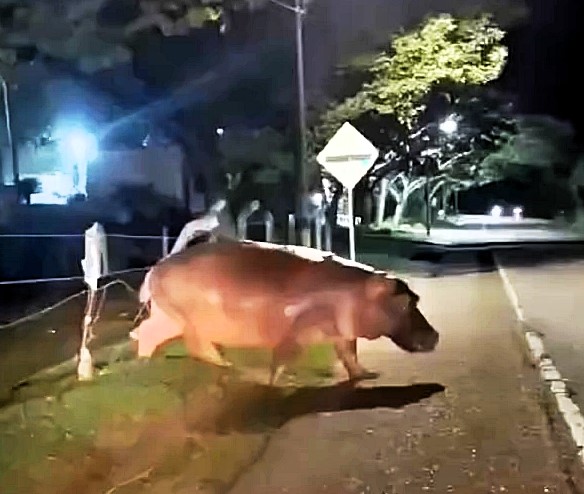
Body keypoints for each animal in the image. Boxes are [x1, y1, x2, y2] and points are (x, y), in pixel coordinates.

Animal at [129, 241, 438, 384]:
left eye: (416, 297)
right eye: (407, 302)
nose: (435, 335)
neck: (361, 291)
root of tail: (156, 268)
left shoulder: (343, 331)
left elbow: (349, 354)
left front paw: (367, 375)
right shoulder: (297, 331)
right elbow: (282, 357)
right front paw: (274, 384)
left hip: (170, 318)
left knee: (145, 332)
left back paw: (145, 365)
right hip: (191, 321)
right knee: (197, 346)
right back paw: (231, 368)